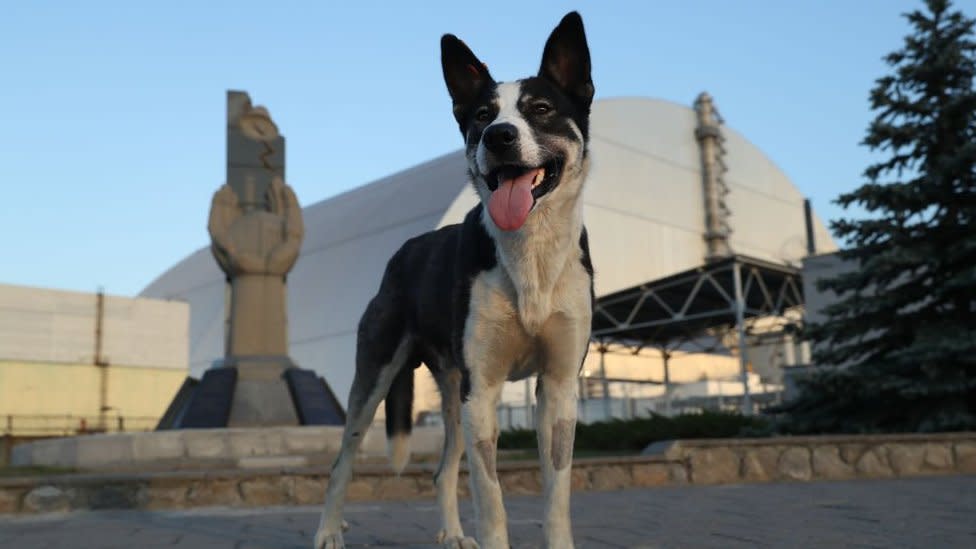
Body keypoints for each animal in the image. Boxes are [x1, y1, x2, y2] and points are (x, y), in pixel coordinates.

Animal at [316, 12, 596, 548]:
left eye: (542, 109)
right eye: (482, 115)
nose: (499, 136)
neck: (529, 253)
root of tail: (402, 252)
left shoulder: (558, 387)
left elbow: (557, 496)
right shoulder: (482, 389)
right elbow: (492, 500)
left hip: (451, 395)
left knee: (443, 469)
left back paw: (450, 532)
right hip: (378, 378)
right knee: (343, 460)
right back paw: (327, 532)